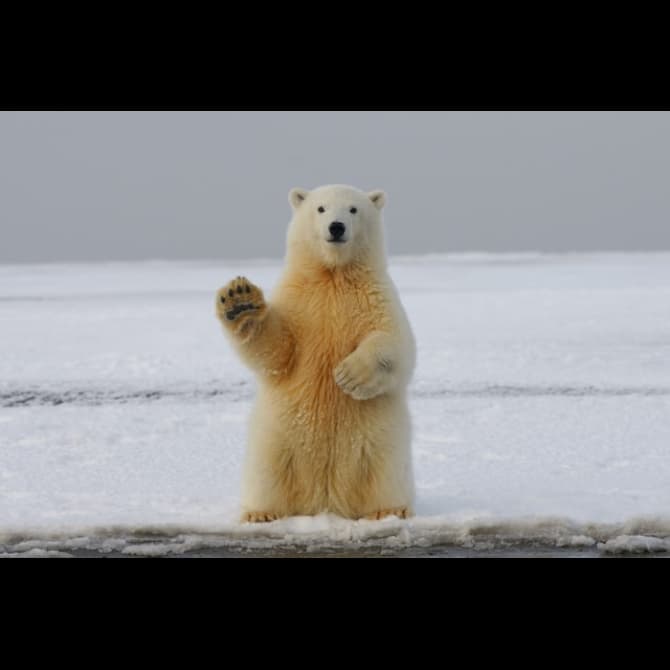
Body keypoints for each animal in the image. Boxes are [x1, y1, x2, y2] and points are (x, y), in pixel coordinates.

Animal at [215, 184, 416, 523]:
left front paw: (349, 375)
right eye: (321, 208)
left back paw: (389, 510)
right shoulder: (299, 303)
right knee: (266, 473)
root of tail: (325, 501)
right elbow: (278, 351)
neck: (333, 275)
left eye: (353, 209)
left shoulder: (376, 298)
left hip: (381, 441)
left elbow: (396, 343)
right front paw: (240, 301)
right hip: (276, 438)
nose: (336, 227)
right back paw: (260, 513)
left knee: (386, 472)